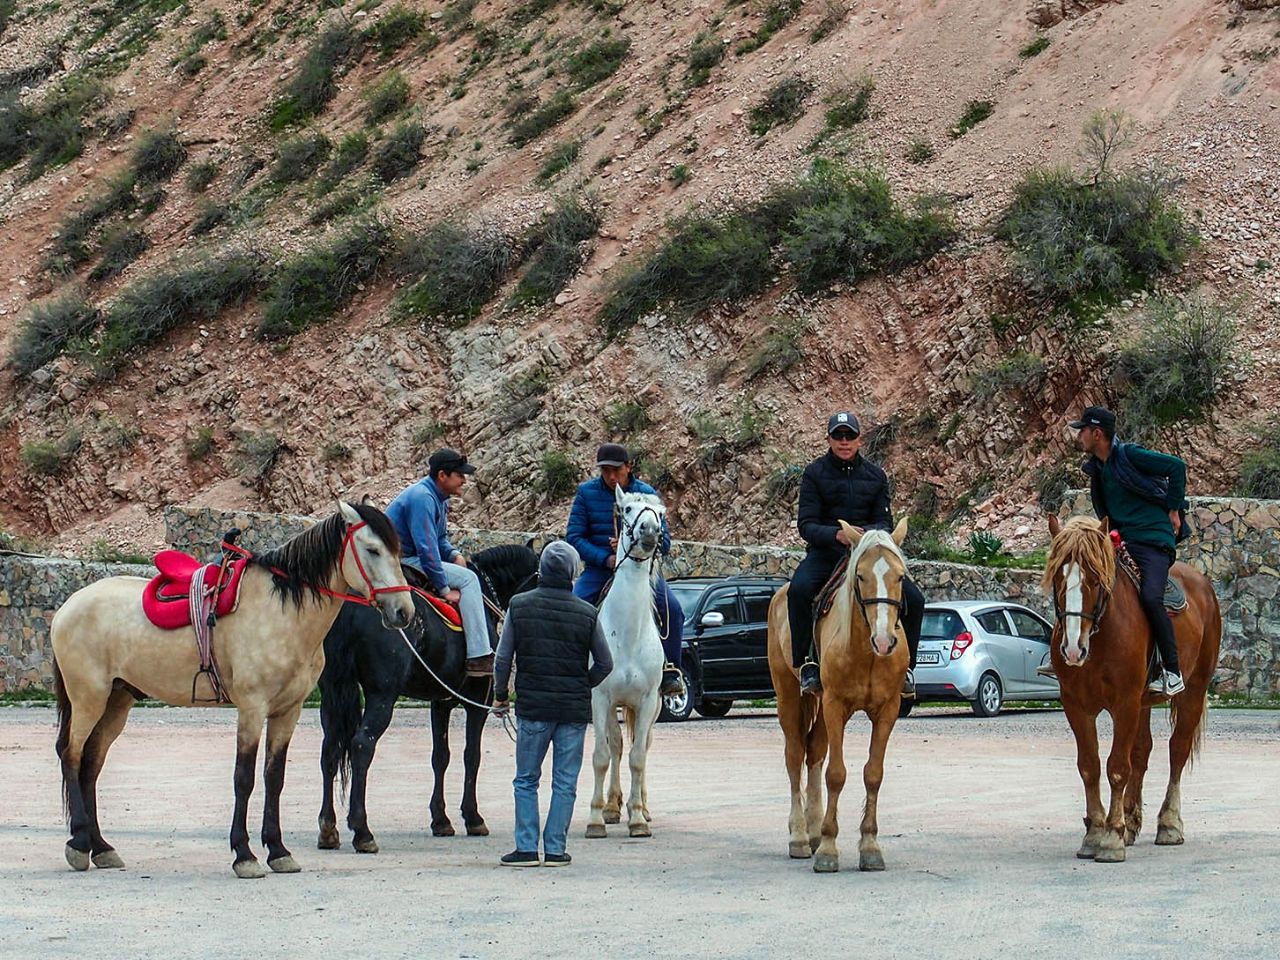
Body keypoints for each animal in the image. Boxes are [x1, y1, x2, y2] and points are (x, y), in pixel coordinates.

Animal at [48, 504, 409, 880]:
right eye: (372, 550)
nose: (403, 611)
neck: (282, 613)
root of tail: (68, 607)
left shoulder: (287, 711)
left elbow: (274, 777)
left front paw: (278, 851)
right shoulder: (252, 708)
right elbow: (244, 778)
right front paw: (244, 855)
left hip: (117, 701)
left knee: (91, 763)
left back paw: (101, 847)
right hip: (88, 699)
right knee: (71, 755)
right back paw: (79, 844)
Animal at [322, 545, 542, 855]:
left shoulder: (441, 702)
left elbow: (441, 756)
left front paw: (441, 819)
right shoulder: (477, 701)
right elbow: (472, 756)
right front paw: (473, 817)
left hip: (333, 691)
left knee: (330, 748)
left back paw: (328, 828)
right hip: (381, 696)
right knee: (362, 745)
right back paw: (362, 830)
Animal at [762, 522, 916, 875]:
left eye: (900, 577)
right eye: (860, 576)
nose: (884, 641)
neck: (866, 652)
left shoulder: (887, 710)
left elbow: (873, 774)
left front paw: (870, 847)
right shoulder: (835, 707)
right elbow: (836, 774)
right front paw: (829, 850)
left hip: (818, 707)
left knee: (814, 752)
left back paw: (814, 830)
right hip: (788, 696)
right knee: (795, 756)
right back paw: (800, 837)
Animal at [1039, 519, 1218, 865]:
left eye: (1095, 580)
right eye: (1057, 577)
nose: (1073, 649)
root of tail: (1202, 583)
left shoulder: (1124, 703)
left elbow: (1118, 768)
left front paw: (1111, 838)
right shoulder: (1076, 706)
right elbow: (1090, 766)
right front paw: (1095, 833)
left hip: (1192, 691)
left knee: (1177, 750)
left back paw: (1169, 824)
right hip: (1143, 703)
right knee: (1142, 751)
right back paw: (1132, 823)